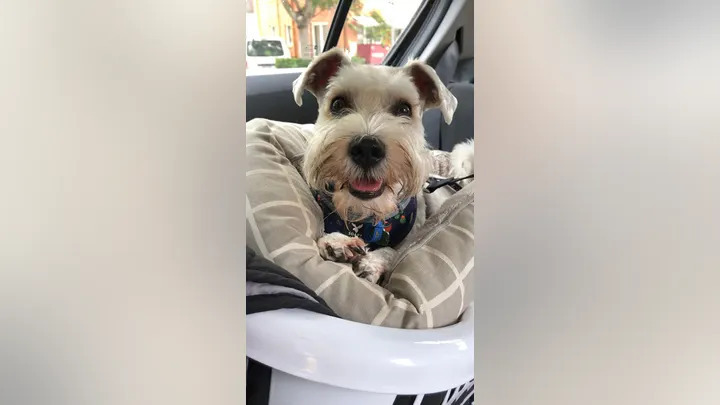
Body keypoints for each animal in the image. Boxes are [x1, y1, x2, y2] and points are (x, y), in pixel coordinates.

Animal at [292, 47, 472, 282]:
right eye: (337, 104)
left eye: (405, 109)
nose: (367, 148)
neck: (367, 216)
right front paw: (336, 241)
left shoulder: (409, 239)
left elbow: (393, 251)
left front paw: (372, 262)